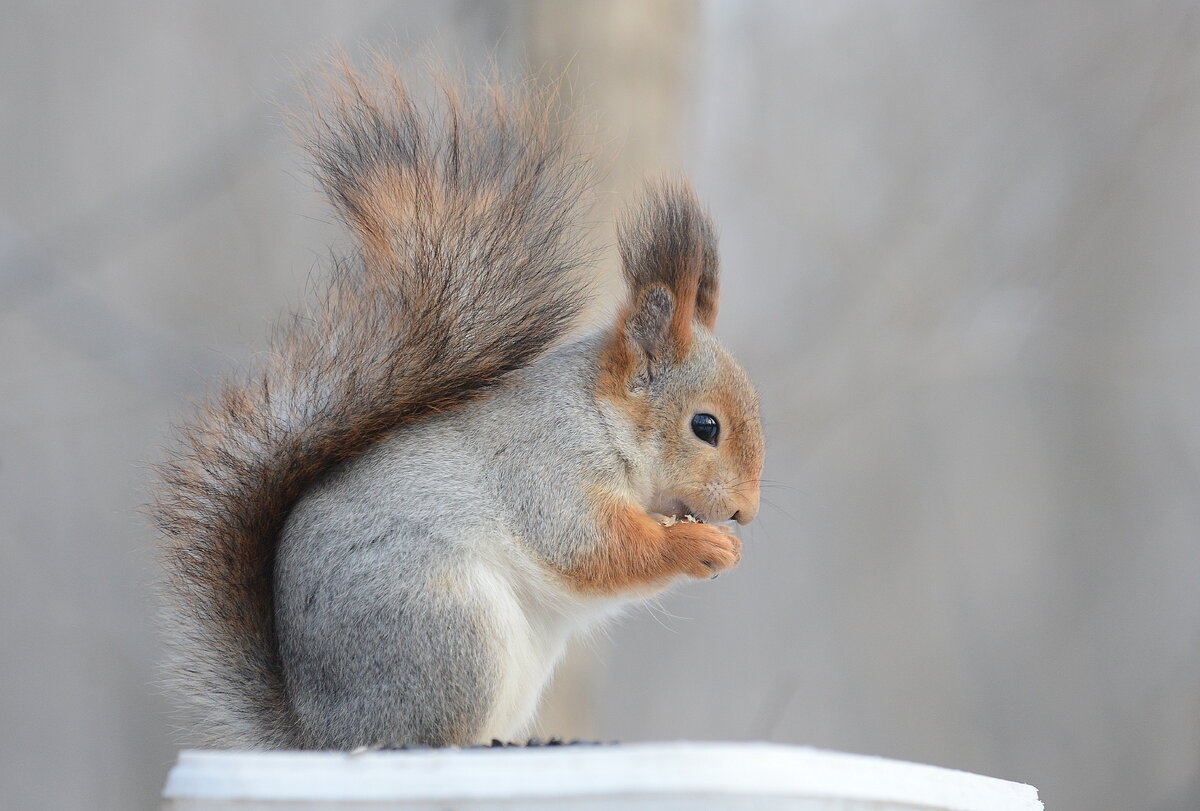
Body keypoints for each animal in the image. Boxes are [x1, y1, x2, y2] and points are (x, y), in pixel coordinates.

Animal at [154, 66, 763, 748]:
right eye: (705, 426)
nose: (745, 512)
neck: (599, 418)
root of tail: (323, 735)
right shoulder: (545, 469)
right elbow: (590, 547)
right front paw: (701, 547)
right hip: (451, 634)